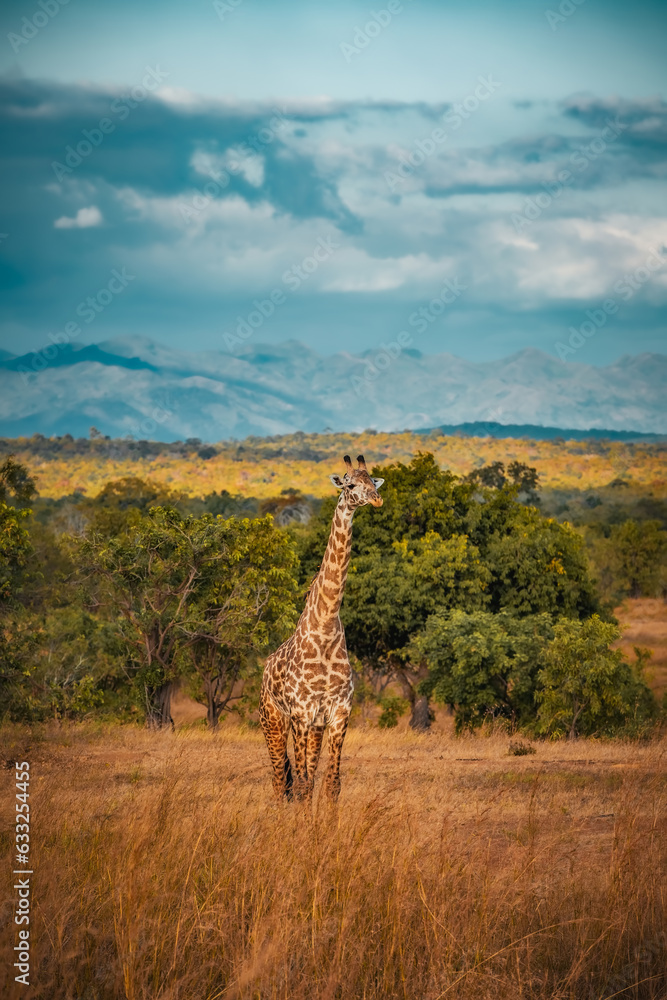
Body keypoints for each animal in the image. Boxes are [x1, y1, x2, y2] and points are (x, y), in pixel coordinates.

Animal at [259, 454, 384, 802]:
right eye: (350, 484)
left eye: (373, 481)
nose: (376, 499)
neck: (326, 623)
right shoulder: (301, 713)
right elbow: (302, 785)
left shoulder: (338, 712)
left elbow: (330, 785)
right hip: (273, 721)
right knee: (280, 782)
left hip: (313, 727)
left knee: (303, 779)